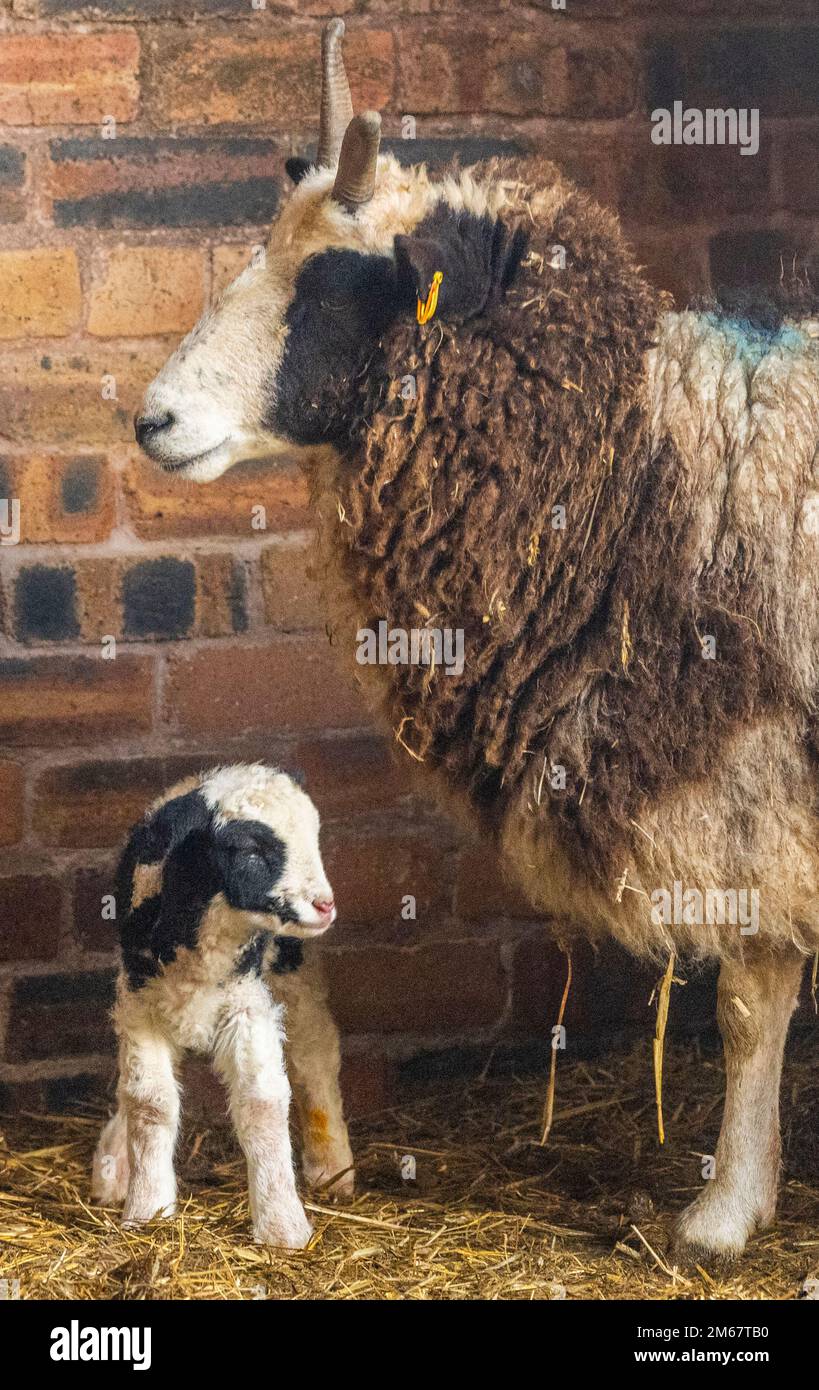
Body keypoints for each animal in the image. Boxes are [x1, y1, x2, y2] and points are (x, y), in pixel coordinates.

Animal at [91, 763, 353, 1248]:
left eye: (313, 837)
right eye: (249, 848)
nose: (325, 905)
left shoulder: (248, 1003)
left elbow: (262, 1102)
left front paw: (283, 1227)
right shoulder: (138, 1003)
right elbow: (148, 1101)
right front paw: (147, 1208)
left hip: (295, 973)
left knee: (315, 1056)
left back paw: (331, 1167)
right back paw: (113, 1167)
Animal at [133, 20, 819, 1261]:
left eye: (340, 284)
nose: (152, 420)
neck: (630, 458)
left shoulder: (744, 767)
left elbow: (750, 996)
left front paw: (722, 1213)